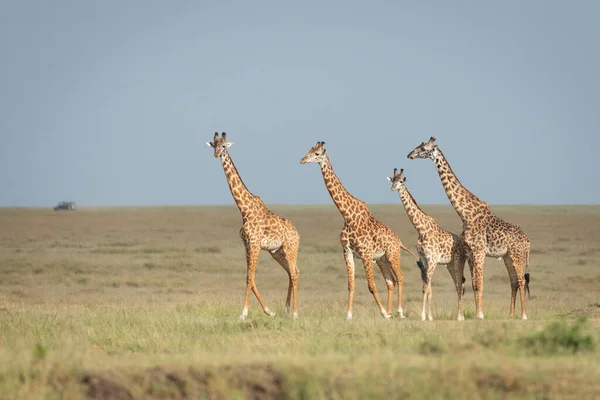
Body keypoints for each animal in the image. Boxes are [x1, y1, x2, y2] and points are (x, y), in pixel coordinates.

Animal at [206, 133, 300, 320]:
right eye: (214, 145)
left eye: (224, 146)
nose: (217, 154)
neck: (244, 209)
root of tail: (298, 234)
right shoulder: (247, 245)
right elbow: (249, 277)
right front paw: (269, 311)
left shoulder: (255, 244)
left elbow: (250, 277)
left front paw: (244, 314)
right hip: (277, 252)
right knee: (293, 272)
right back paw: (287, 309)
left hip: (290, 248)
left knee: (294, 273)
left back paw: (294, 314)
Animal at [300, 142, 422, 320]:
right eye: (309, 150)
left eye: (317, 153)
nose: (302, 160)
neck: (347, 215)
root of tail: (398, 240)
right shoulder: (347, 252)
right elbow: (351, 285)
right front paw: (349, 315)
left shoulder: (365, 253)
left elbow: (371, 285)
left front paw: (383, 313)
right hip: (382, 259)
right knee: (391, 281)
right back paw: (391, 312)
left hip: (392, 254)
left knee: (400, 277)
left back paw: (398, 312)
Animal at [386, 167, 466, 320]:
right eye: (392, 180)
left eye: (401, 181)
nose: (392, 188)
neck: (421, 229)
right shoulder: (424, 260)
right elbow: (425, 288)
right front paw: (426, 315)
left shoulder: (433, 259)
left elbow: (428, 287)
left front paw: (427, 316)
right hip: (450, 264)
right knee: (458, 284)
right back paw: (460, 315)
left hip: (459, 261)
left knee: (460, 284)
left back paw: (460, 316)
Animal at [408, 137, 528, 318]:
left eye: (423, 148)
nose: (410, 155)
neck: (464, 213)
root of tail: (528, 241)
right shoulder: (470, 253)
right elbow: (472, 284)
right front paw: (476, 313)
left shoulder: (479, 252)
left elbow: (479, 284)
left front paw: (480, 315)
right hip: (507, 256)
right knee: (513, 281)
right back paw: (511, 315)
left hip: (517, 255)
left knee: (521, 280)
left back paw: (524, 315)